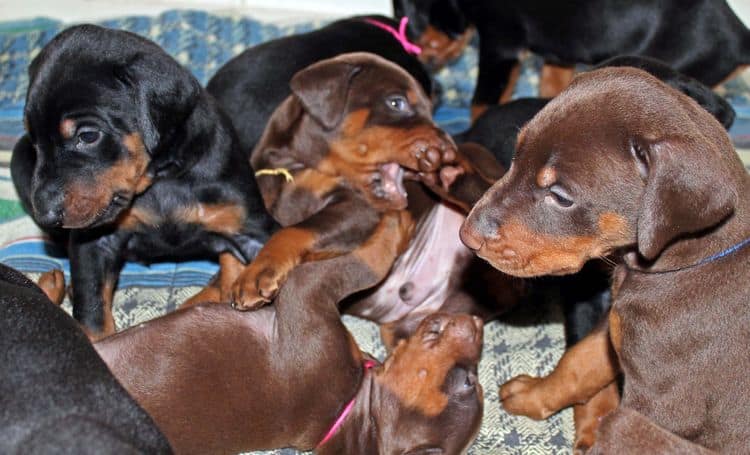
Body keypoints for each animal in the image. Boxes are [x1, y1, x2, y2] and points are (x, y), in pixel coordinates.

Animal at [11, 25, 278, 338]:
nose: (47, 215)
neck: (159, 179)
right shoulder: (94, 242)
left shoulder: (245, 224)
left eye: (88, 135)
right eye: (35, 141)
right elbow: (92, 311)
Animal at [94, 212, 484, 454]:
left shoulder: (306, 291)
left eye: (470, 381)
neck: (349, 405)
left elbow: (366, 263)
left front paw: (394, 220)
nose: (478, 323)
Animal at [462, 67, 750, 452]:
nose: (466, 235)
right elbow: (581, 359)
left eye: (560, 196)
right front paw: (532, 395)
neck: (696, 257)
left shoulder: (657, 404)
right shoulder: (617, 321)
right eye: (515, 155)